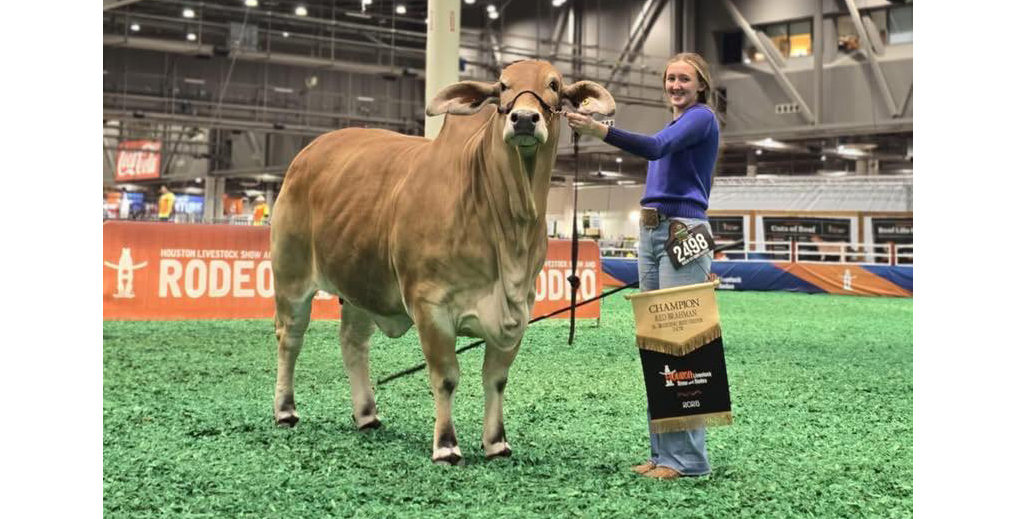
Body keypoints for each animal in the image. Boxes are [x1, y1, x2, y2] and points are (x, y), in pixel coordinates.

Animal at [267, 58, 613, 463]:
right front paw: (446, 444)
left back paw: (367, 414)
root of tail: (306, 154)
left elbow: (496, 379)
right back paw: (285, 410)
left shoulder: (519, 311)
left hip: (360, 284)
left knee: (353, 343)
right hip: (290, 275)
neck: (510, 230)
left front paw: (496, 442)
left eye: (555, 84)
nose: (524, 119)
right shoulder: (430, 305)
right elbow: (446, 377)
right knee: (289, 338)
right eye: (502, 85)